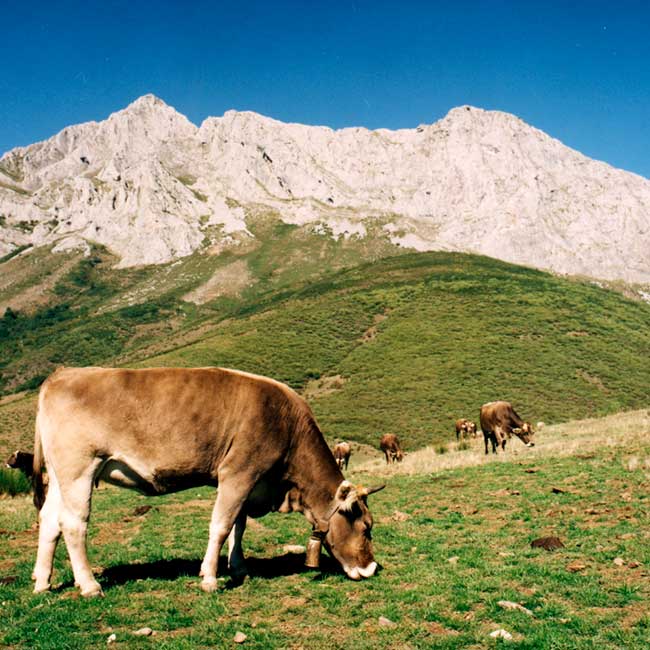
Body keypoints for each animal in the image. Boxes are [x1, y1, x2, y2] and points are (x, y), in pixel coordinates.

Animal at [31, 364, 384, 592]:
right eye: (366, 528)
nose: (371, 568)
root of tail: (63, 373)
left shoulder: (249, 481)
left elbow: (239, 525)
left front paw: (239, 568)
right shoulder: (238, 472)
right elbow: (222, 525)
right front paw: (210, 579)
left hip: (59, 477)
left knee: (49, 519)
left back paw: (42, 582)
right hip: (79, 470)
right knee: (73, 523)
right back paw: (89, 585)